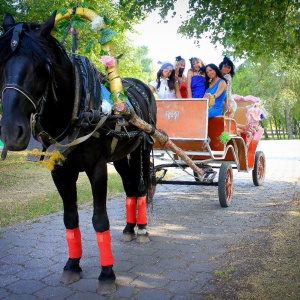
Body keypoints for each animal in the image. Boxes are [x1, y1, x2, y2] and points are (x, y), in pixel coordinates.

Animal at [1, 12, 157, 292]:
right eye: (1, 64)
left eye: (41, 68)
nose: (10, 132)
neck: (78, 106)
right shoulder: (60, 171)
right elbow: (70, 218)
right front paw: (72, 265)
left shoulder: (97, 168)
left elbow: (99, 219)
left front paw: (107, 274)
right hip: (121, 158)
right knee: (130, 187)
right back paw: (129, 228)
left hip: (142, 149)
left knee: (140, 189)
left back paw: (141, 229)